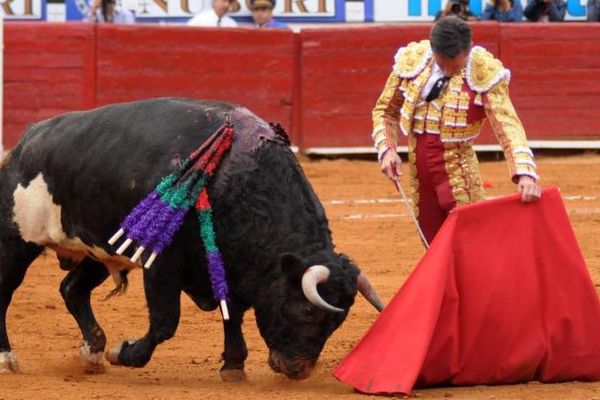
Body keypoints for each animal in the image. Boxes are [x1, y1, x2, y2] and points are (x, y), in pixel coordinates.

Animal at [0, 98, 384, 380]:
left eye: (338, 321)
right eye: (307, 309)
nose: (298, 370)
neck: (237, 180)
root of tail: (26, 141)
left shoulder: (230, 266)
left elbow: (232, 314)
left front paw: (233, 365)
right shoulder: (162, 264)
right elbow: (166, 322)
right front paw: (125, 353)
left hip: (101, 247)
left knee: (72, 290)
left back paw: (92, 353)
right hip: (16, 242)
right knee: (6, 292)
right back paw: (8, 358)